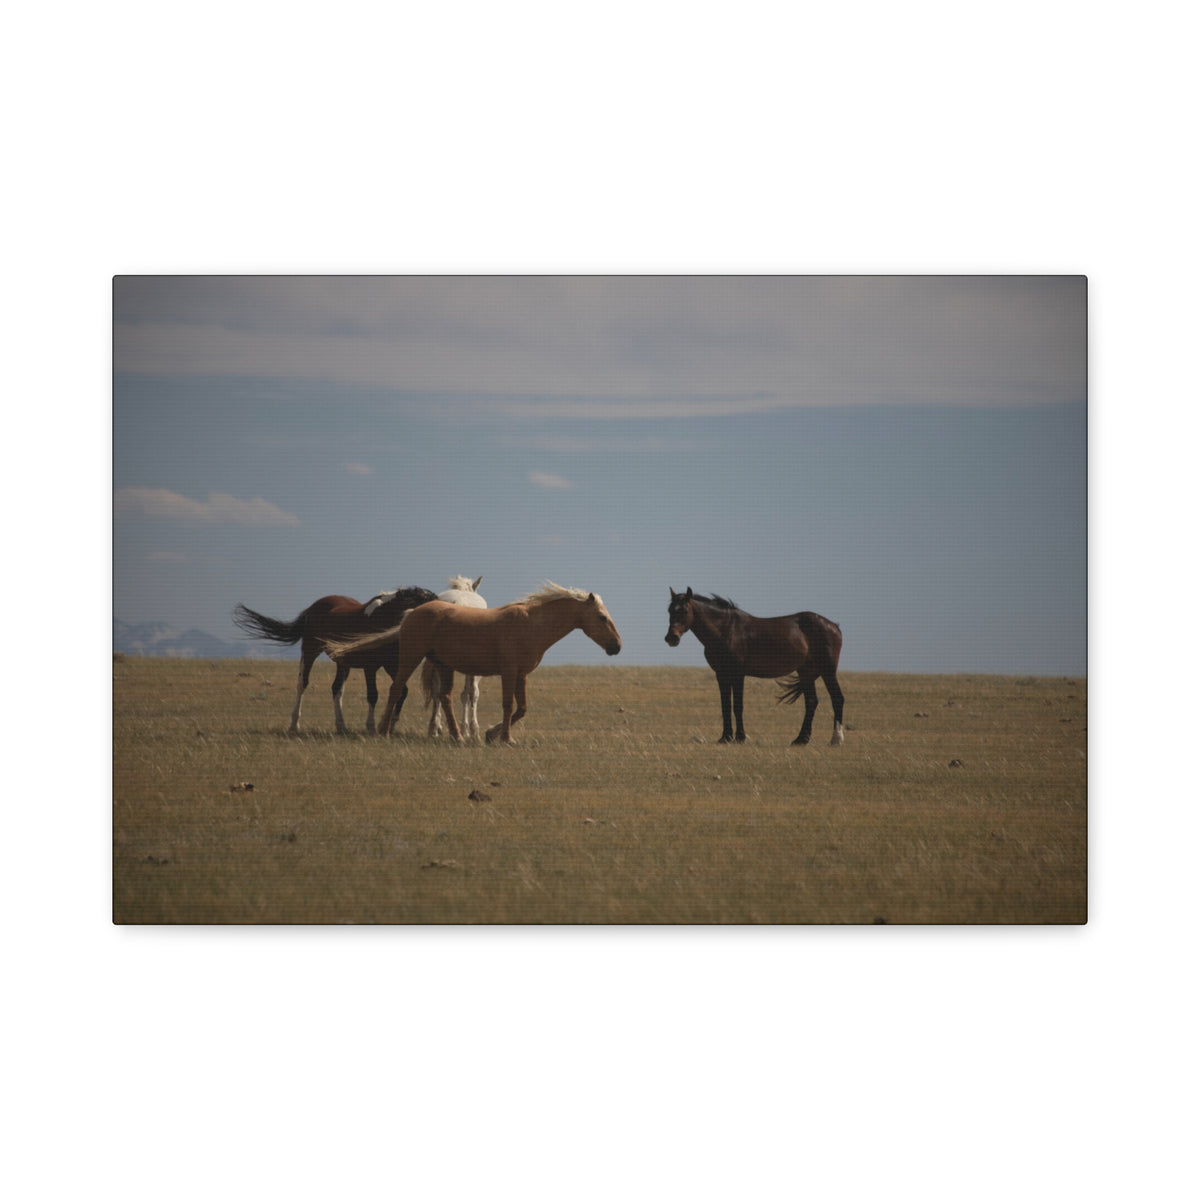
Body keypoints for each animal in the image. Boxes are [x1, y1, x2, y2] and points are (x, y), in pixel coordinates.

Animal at [232, 586, 437, 734]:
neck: (382, 618)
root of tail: (314, 607)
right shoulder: (370, 667)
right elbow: (373, 695)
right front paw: (371, 726)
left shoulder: (391, 665)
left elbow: (401, 691)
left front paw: (390, 725)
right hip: (310, 651)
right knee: (302, 684)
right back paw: (294, 724)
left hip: (342, 662)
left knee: (336, 689)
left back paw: (341, 726)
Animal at [664, 587, 845, 746]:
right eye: (670, 610)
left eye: (684, 610)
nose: (671, 638)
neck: (726, 631)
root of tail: (834, 626)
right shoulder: (721, 674)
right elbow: (725, 705)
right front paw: (725, 737)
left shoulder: (738, 674)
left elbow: (738, 706)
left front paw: (740, 737)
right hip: (806, 672)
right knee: (811, 702)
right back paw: (801, 739)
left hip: (828, 671)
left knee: (837, 698)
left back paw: (836, 739)